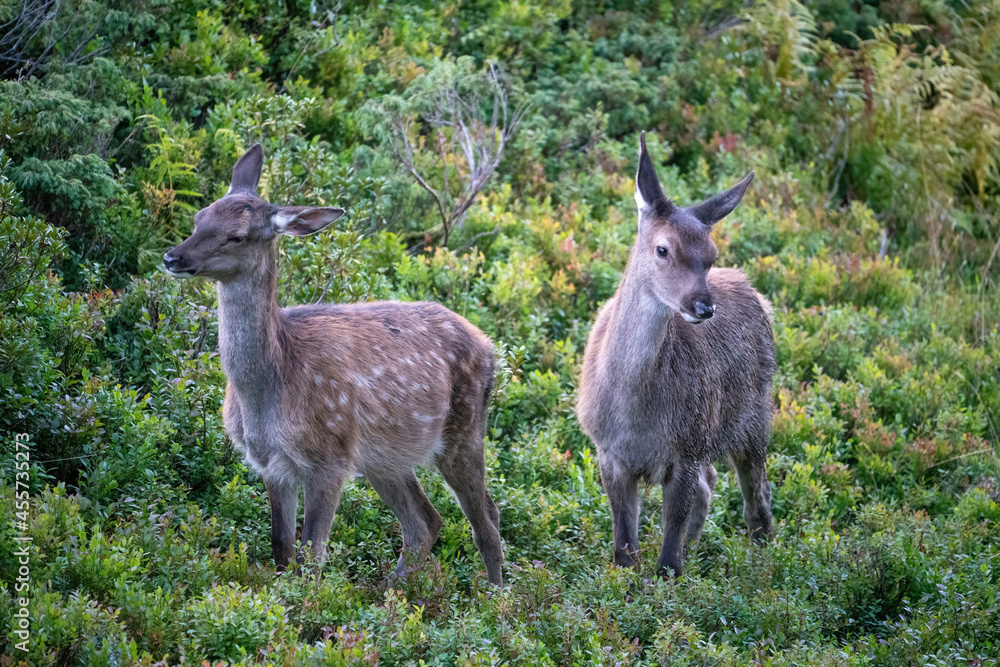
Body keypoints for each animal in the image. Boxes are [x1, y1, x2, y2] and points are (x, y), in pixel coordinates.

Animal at [162, 144, 504, 586]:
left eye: (237, 236)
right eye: (199, 216)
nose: (173, 257)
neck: (270, 389)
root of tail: (490, 347)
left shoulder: (329, 457)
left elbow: (312, 553)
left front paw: (312, 602)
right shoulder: (271, 464)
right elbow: (281, 547)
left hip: (464, 430)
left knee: (485, 522)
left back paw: (497, 597)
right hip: (384, 456)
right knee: (426, 522)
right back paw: (389, 593)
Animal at [576, 132, 776, 578]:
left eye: (711, 254)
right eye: (663, 249)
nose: (703, 306)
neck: (635, 415)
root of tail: (759, 295)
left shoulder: (686, 449)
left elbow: (667, 561)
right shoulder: (608, 453)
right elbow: (624, 550)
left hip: (753, 418)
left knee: (757, 500)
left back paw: (761, 563)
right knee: (712, 482)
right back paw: (701, 549)